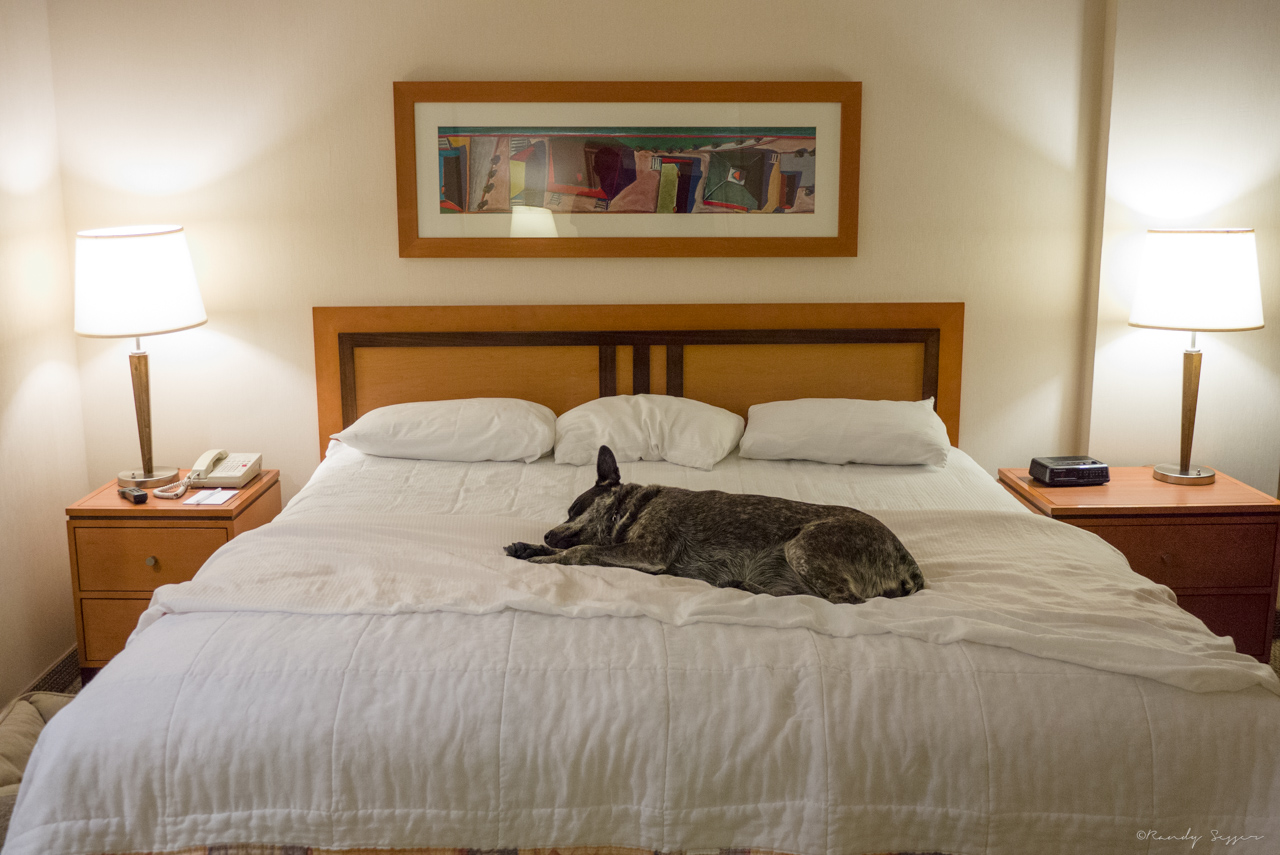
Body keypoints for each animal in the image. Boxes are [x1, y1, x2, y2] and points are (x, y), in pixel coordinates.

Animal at [504, 445, 926, 604]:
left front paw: (543, 558)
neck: (638, 507)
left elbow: (581, 550)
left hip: (802, 546)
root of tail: (908, 561)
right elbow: (579, 547)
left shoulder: (648, 552)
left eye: (575, 508)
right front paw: (527, 547)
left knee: (842, 601)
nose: (546, 532)